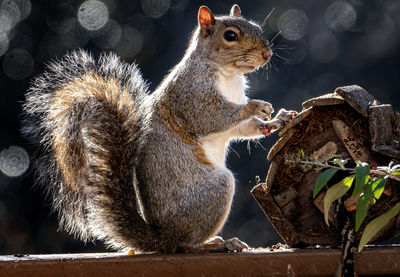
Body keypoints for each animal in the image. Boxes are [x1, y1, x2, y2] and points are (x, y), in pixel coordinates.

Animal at [22, 4, 296, 251]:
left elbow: (242, 129)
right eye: (230, 36)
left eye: (257, 28)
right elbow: (211, 118)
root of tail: (163, 237)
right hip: (215, 191)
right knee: (186, 245)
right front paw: (255, 106)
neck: (228, 75)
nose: (267, 54)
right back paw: (216, 244)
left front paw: (276, 120)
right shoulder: (191, 95)